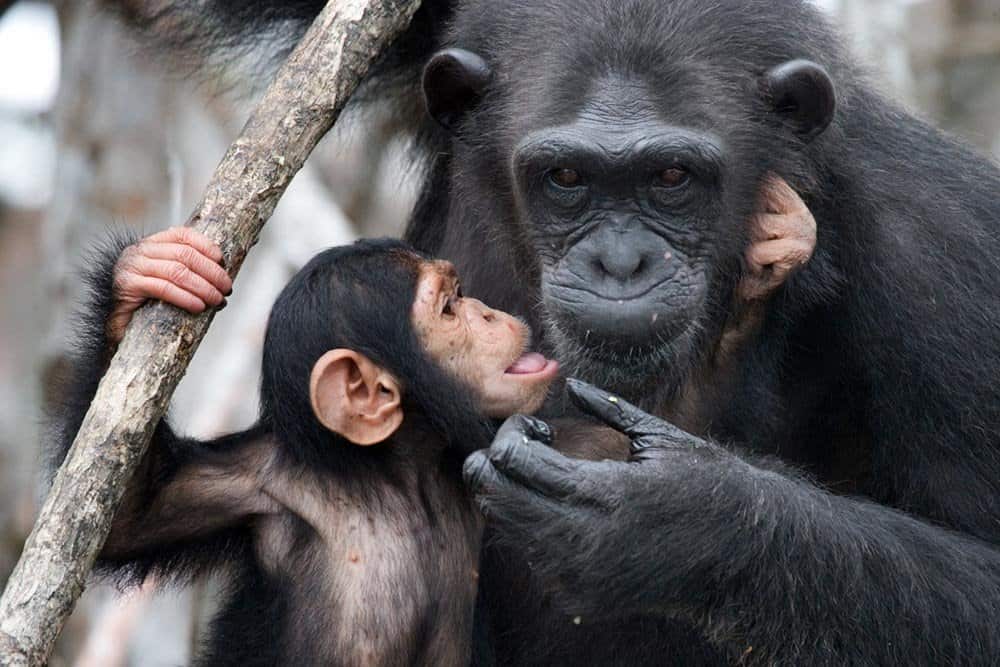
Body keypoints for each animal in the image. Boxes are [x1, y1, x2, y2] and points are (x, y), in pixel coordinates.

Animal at [54, 228, 560, 664]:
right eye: (449, 308)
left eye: (461, 296)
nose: (488, 312)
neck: (396, 473)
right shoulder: (253, 481)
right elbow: (131, 515)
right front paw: (149, 274)